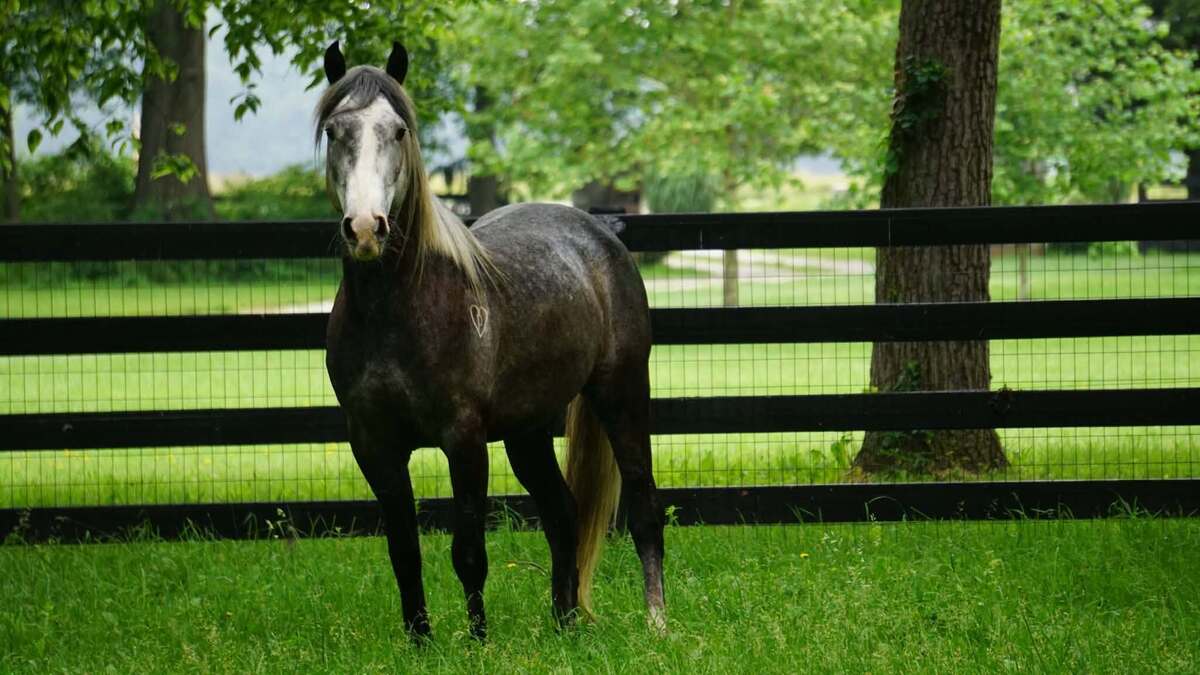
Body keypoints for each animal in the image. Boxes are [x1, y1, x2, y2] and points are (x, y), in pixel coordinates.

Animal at [317, 41, 665, 641]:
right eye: (336, 130)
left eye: (399, 131)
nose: (365, 228)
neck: (398, 313)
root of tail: (603, 234)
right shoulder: (373, 444)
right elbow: (404, 554)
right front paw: (421, 643)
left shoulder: (464, 440)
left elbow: (468, 553)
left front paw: (478, 642)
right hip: (528, 432)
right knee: (563, 513)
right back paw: (565, 623)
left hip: (621, 394)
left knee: (643, 507)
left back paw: (657, 623)